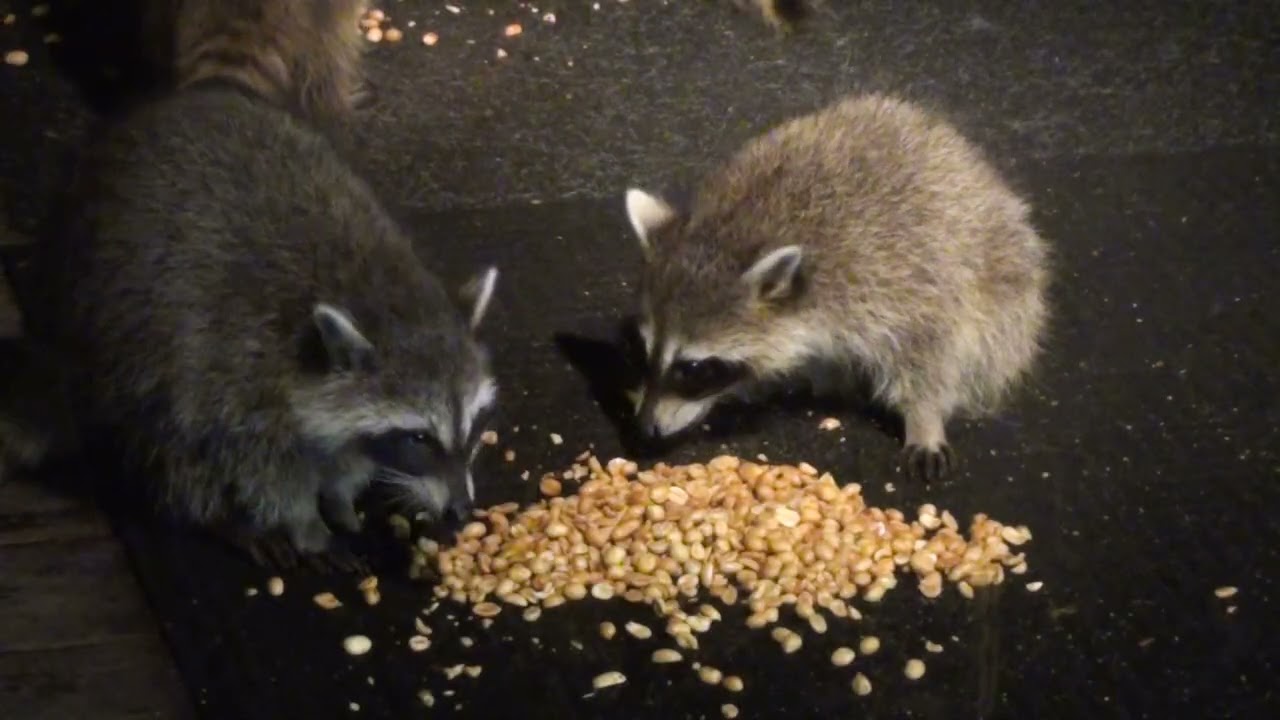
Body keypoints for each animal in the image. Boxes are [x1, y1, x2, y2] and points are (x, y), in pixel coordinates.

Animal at [22, 82, 499, 571]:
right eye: (419, 438)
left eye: (476, 424)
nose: (461, 510)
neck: (383, 297)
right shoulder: (239, 377)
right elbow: (265, 472)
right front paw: (306, 526)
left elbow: (347, 457)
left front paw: (340, 498)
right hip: (118, 346)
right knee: (168, 442)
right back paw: (216, 515)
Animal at [622, 92, 1050, 482]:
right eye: (643, 350)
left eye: (694, 369)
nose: (644, 428)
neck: (735, 232)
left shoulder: (906, 282)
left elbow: (930, 352)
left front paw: (924, 419)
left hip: (1007, 284)